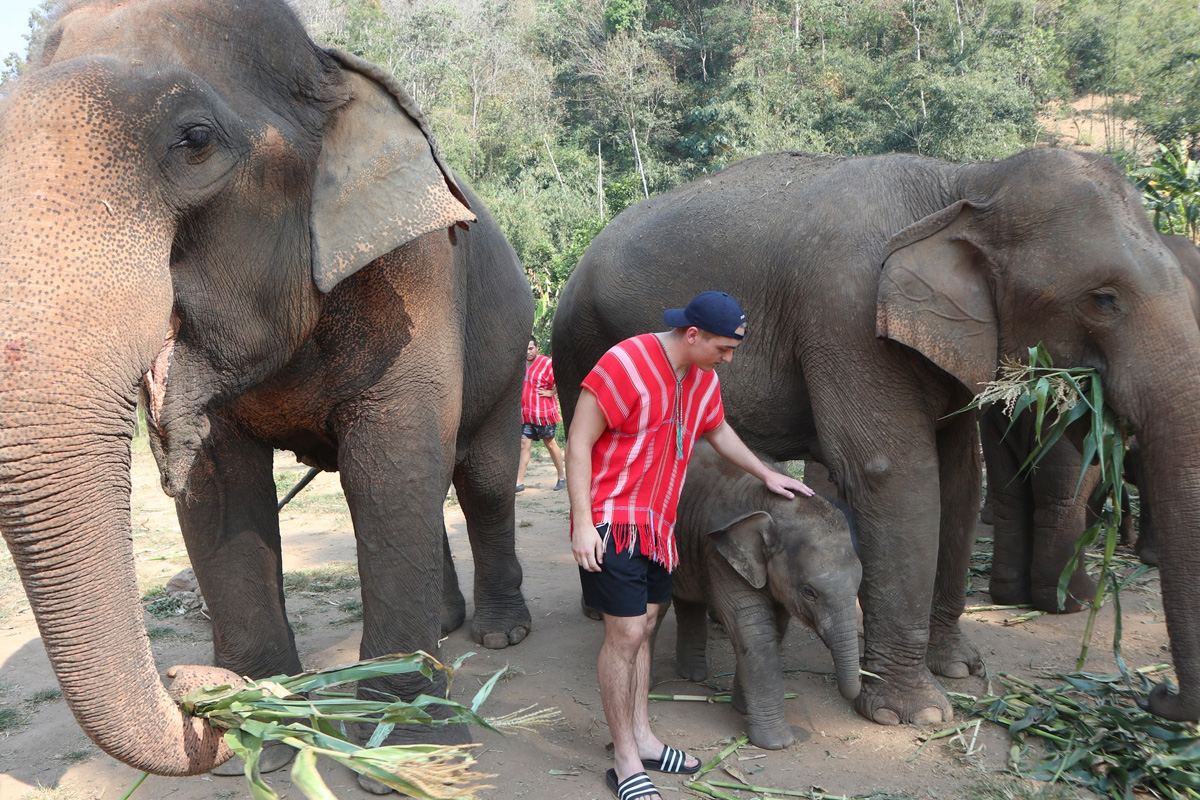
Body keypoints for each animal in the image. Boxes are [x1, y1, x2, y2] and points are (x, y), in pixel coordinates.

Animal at [0, 0, 533, 780]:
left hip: (515, 351)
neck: (326, 67)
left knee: (482, 479)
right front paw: (259, 722)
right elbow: (221, 489)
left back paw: (498, 637)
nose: (192, 688)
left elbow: (388, 470)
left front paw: (410, 752)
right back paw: (444, 626)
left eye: (195, 141)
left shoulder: (417, 272)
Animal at [667, 440, 861, 749]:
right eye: (809, 592)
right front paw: (778, 743)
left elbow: (776, 627)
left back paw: (693, 675)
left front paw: (743, 709)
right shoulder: (721, 557)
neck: (777, 508)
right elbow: (754, 630)